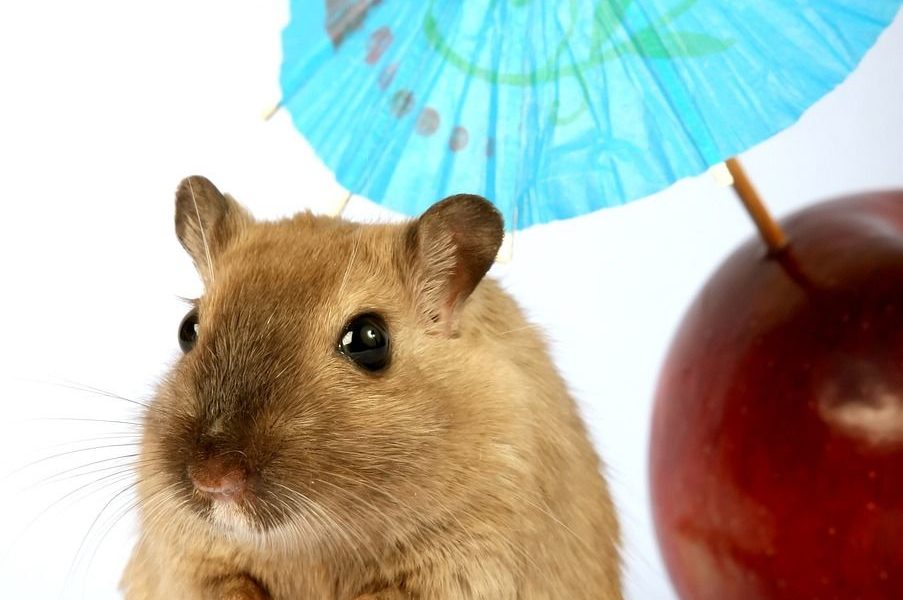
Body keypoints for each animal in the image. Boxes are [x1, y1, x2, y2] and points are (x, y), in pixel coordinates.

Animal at [121, 176, 621, 600]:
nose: (212, 480)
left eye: (367, 340)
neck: (311, 543)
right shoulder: (187, 555)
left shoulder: (467, 559)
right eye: (188, 329)